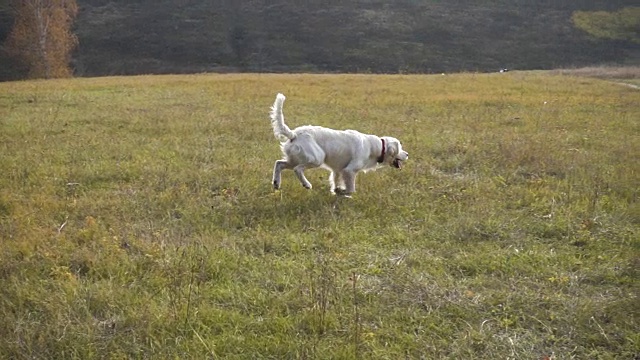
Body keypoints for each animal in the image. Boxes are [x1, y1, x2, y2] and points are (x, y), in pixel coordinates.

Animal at [268, 91, 408, 195]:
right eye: (400, 148)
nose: (407, 154)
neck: (375, 147)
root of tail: (294, 134)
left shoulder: (338, 170)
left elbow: (336, 182)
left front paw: (337, 191)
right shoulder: (350, 170)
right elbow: (351, 189)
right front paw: (345, 193)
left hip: (294, 159)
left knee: (279, 163)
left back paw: (276, 183)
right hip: (316, 158)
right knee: (297, 169)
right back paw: (306, 184)